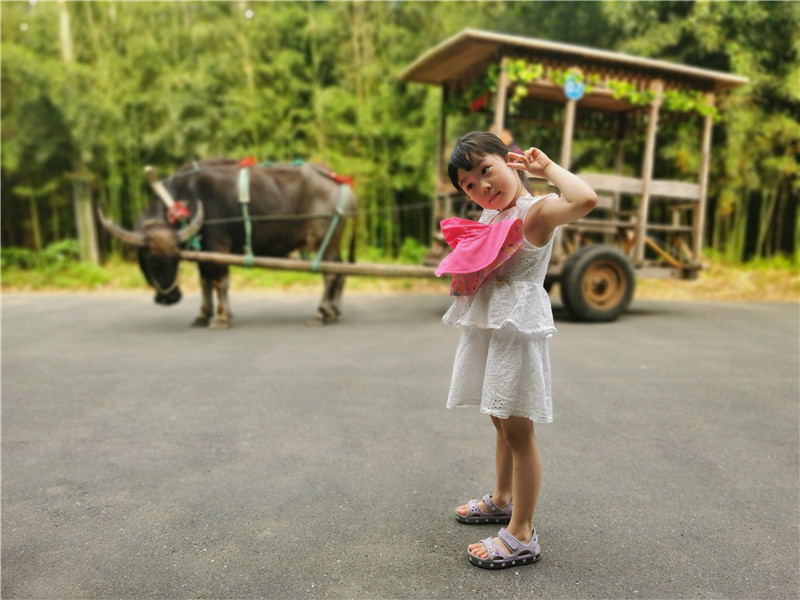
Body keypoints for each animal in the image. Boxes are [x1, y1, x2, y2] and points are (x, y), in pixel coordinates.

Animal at [100, 159, 356, 328]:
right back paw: (334, 311)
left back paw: (321, 314)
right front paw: (202, 316)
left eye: (173, 259)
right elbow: (204, 284)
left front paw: (222, 318)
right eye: (151, 260)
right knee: (341, 272)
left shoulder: (218, 249)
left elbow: (219, 283)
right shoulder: (202, 254)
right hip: (334, 243)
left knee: (330, 274)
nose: (171, 298)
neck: (186, 196)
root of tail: (341, 185)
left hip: (325, 241)